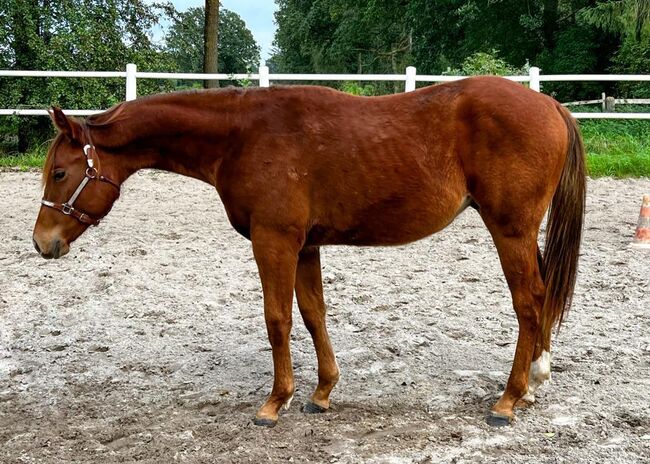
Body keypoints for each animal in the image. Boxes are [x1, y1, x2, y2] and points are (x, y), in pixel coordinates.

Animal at [31, 76, 584, 428]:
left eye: (59, 172)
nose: (42, 242)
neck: (241, 135)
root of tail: (550, 105)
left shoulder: (274, 240)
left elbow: (277, 318)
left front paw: (275, 402)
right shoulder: (305, 246)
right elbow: (314, 314)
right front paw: (321, 393)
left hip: (509, 230)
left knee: (529, 303)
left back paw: (508, 399)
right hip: (520, 233)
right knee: (540, 299)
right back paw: (534, 382)